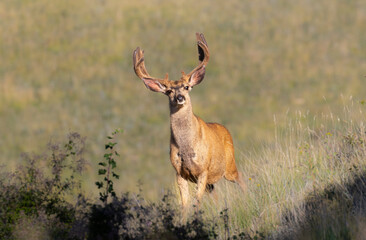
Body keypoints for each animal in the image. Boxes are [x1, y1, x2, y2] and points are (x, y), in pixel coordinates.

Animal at [132, 32, 246, 209]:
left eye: (186, 87)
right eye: (169, 91)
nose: (180, 97)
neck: (187, 147)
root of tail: (224, 129)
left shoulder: (203, 170)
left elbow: (196, 202)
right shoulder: (179, 172)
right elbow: (185, 204)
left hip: (229, 165)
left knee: (241, 178)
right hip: (213, 180)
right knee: (216, 195)